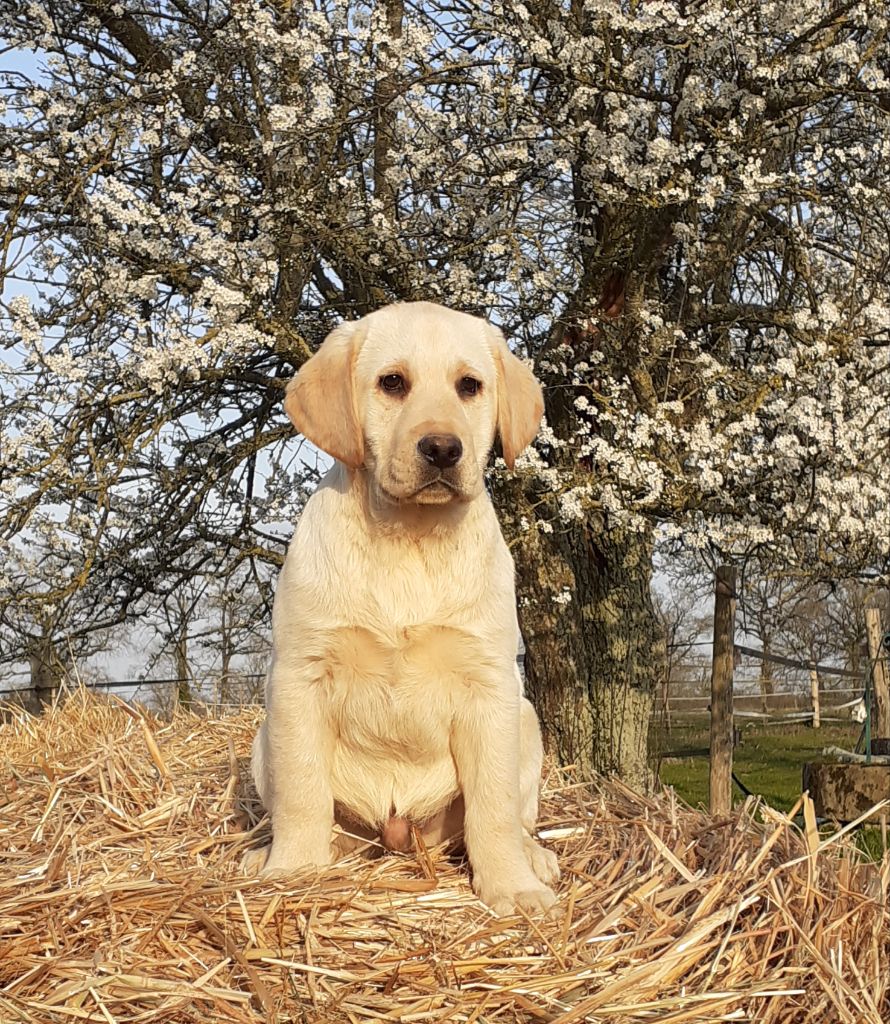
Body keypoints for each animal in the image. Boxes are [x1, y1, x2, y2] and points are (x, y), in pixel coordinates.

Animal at [246, 299, 557, 917]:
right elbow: (302, 792)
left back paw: (534, 859)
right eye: (392, 383)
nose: (442, 449)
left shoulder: (489, 685)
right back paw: (263, 854)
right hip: (262, 740)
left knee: (514, 818)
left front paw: (511, 887)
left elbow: (493, 807)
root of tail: (396, 833)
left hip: (526, 721)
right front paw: (290, 872)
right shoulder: (299, 678)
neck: (409, 538)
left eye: (469, 386)